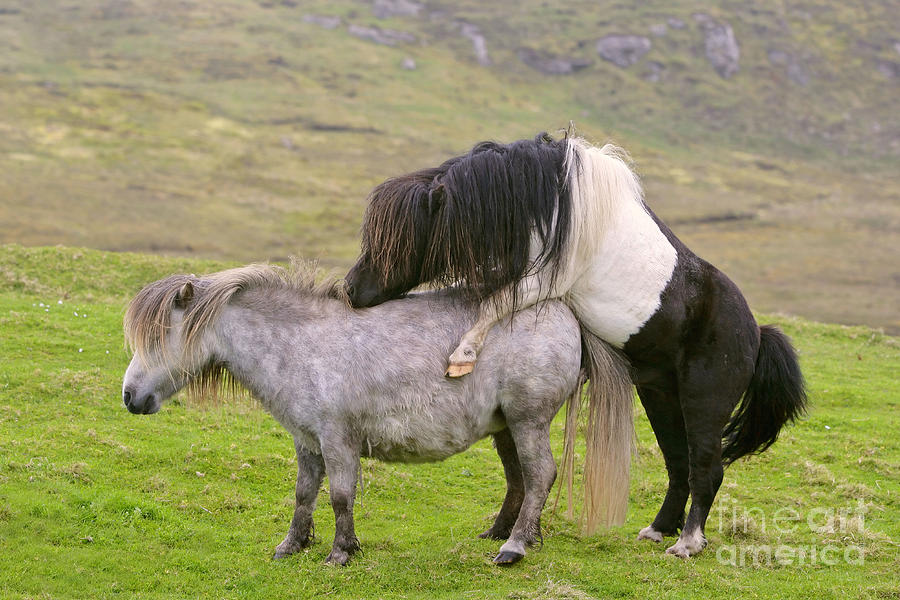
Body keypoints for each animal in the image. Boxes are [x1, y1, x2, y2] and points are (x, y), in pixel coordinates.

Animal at [121, 264, 632, 568]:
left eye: (159, 335)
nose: (129, 397)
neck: (302, 346)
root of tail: (564, 311)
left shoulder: (337, 439)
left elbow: (340, 496)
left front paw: (340, 553)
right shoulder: (306, 441)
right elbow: (304, 494)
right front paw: (292, 545)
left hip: (529, 420)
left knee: (540, 474)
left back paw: (515, 547)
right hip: (505, 426)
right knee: (519, 479)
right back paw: (501, 533)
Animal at [344, 131, 808, 556]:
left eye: (398, 241)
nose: (350, 291)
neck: (550, 204)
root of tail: (756, 333)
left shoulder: (548, 280)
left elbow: (495, 302)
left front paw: (463, 356)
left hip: (703, 403)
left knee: (707, 469)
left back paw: (688, 542)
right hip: (660, 395)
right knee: (679, 465)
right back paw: (660, 529)